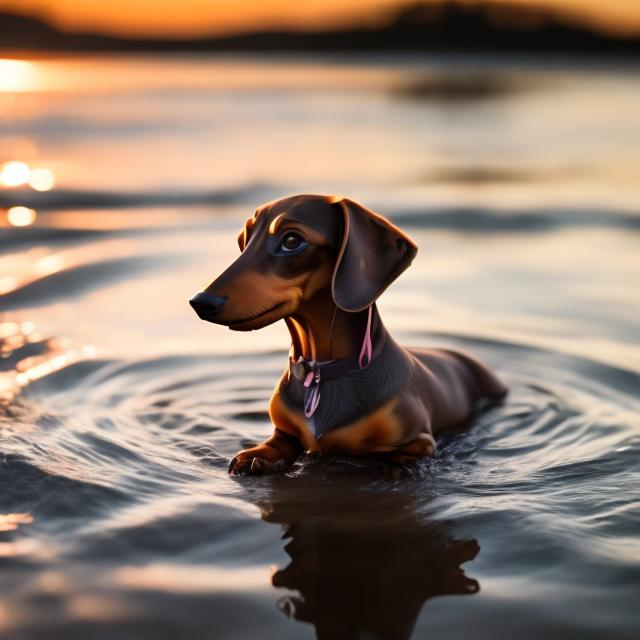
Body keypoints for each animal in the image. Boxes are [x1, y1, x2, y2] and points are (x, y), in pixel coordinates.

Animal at [188, 195, 508, 476]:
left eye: (292, 241)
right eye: (244, 240)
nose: (200, 302)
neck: (321, 372)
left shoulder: (420, 439)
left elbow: (404, 452)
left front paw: (397, 467)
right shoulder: (284, 430)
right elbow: (277, 442)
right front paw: (256, 457)